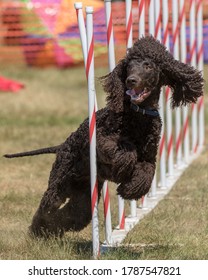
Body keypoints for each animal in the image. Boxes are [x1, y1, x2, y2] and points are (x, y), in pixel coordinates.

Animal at [4, 36, 204, 237]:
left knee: (75, 214)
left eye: (148, 65)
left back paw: (52, 230)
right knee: (47, 206)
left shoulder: (149, 158)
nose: (131, 80)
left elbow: (146, 173)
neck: (137, 115)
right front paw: (124, 170)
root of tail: (61, 146)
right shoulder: (102, 139)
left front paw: (128, 189)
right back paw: (38, 232)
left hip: (83, 191)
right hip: (60, 181)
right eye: (129, 66)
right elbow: (125, 152)